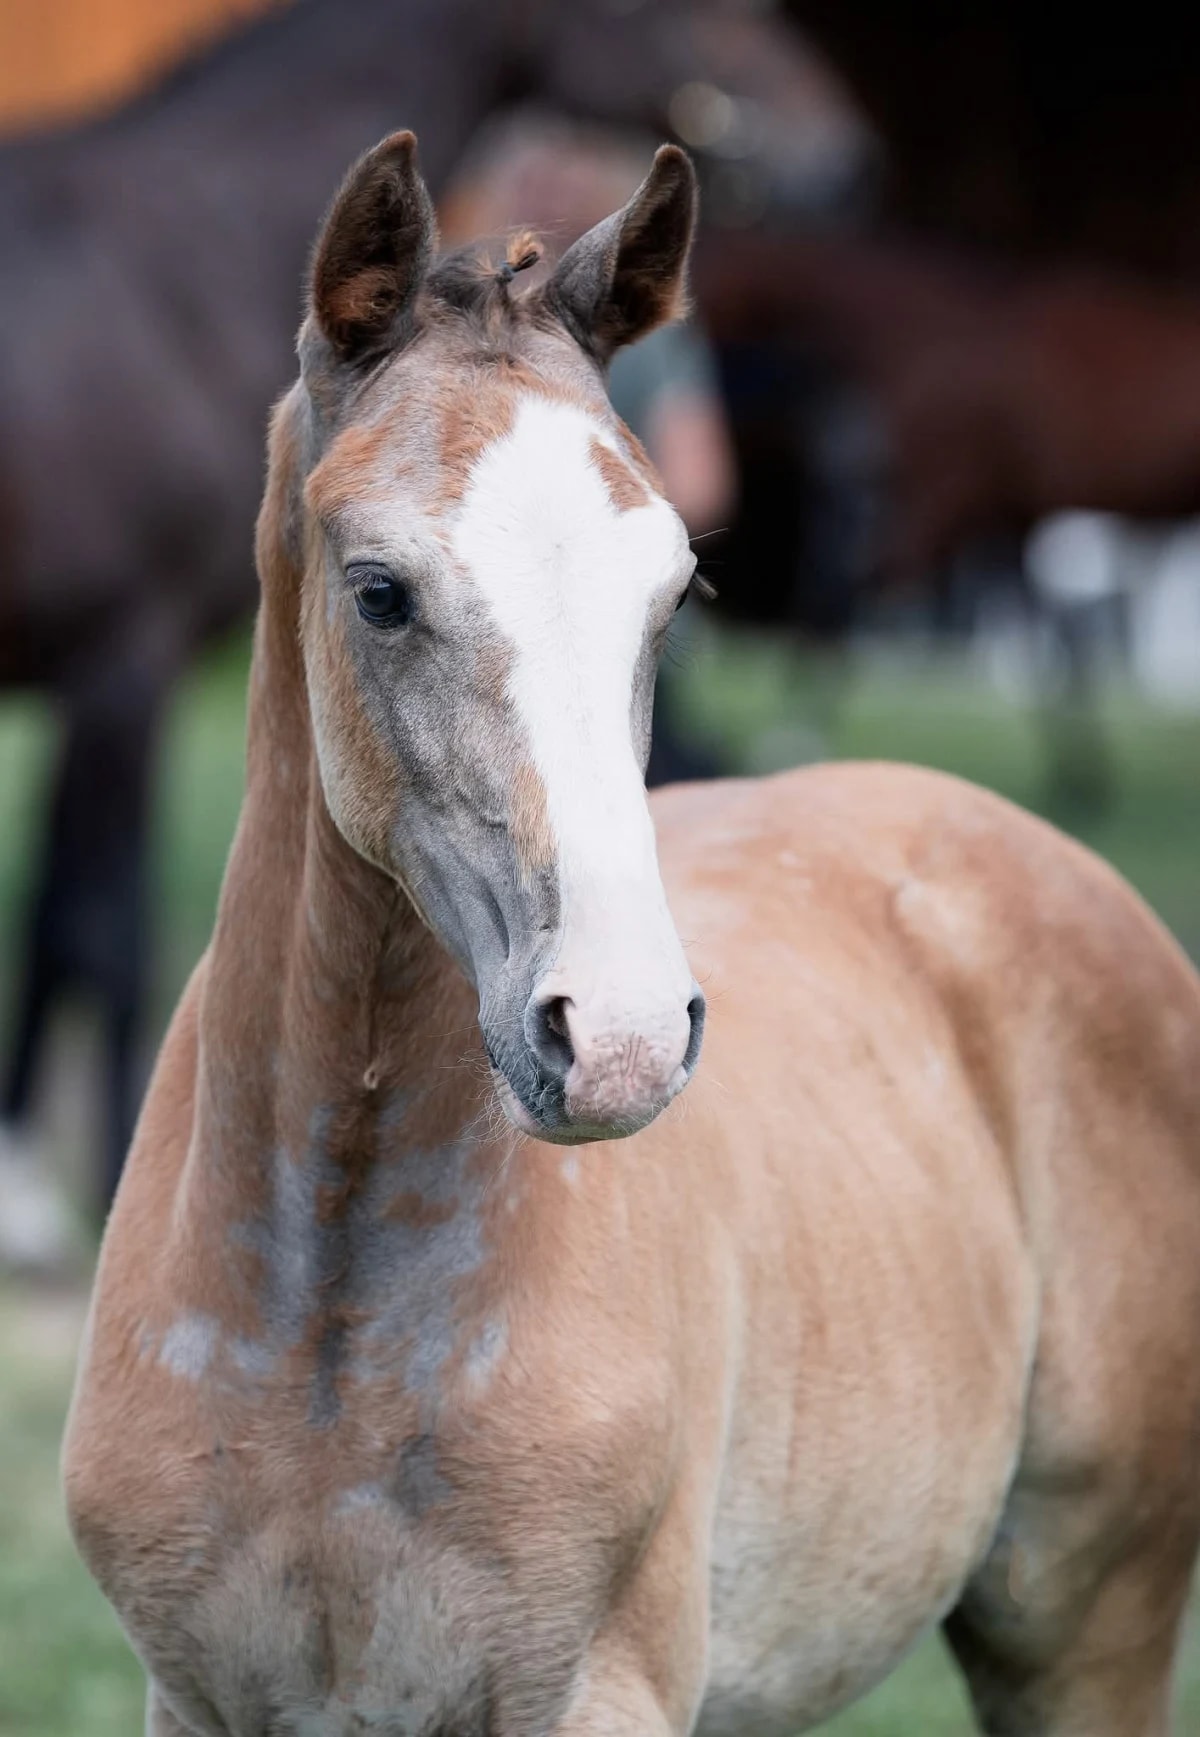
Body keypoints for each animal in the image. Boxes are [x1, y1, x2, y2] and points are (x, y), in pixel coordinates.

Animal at [64, 132, 1200, 1736]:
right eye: (380, 592)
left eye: (676, 595)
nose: (618, 1038)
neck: (330, 1337)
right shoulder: (197, 1699)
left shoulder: (600, 1691)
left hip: (1090, 1619)